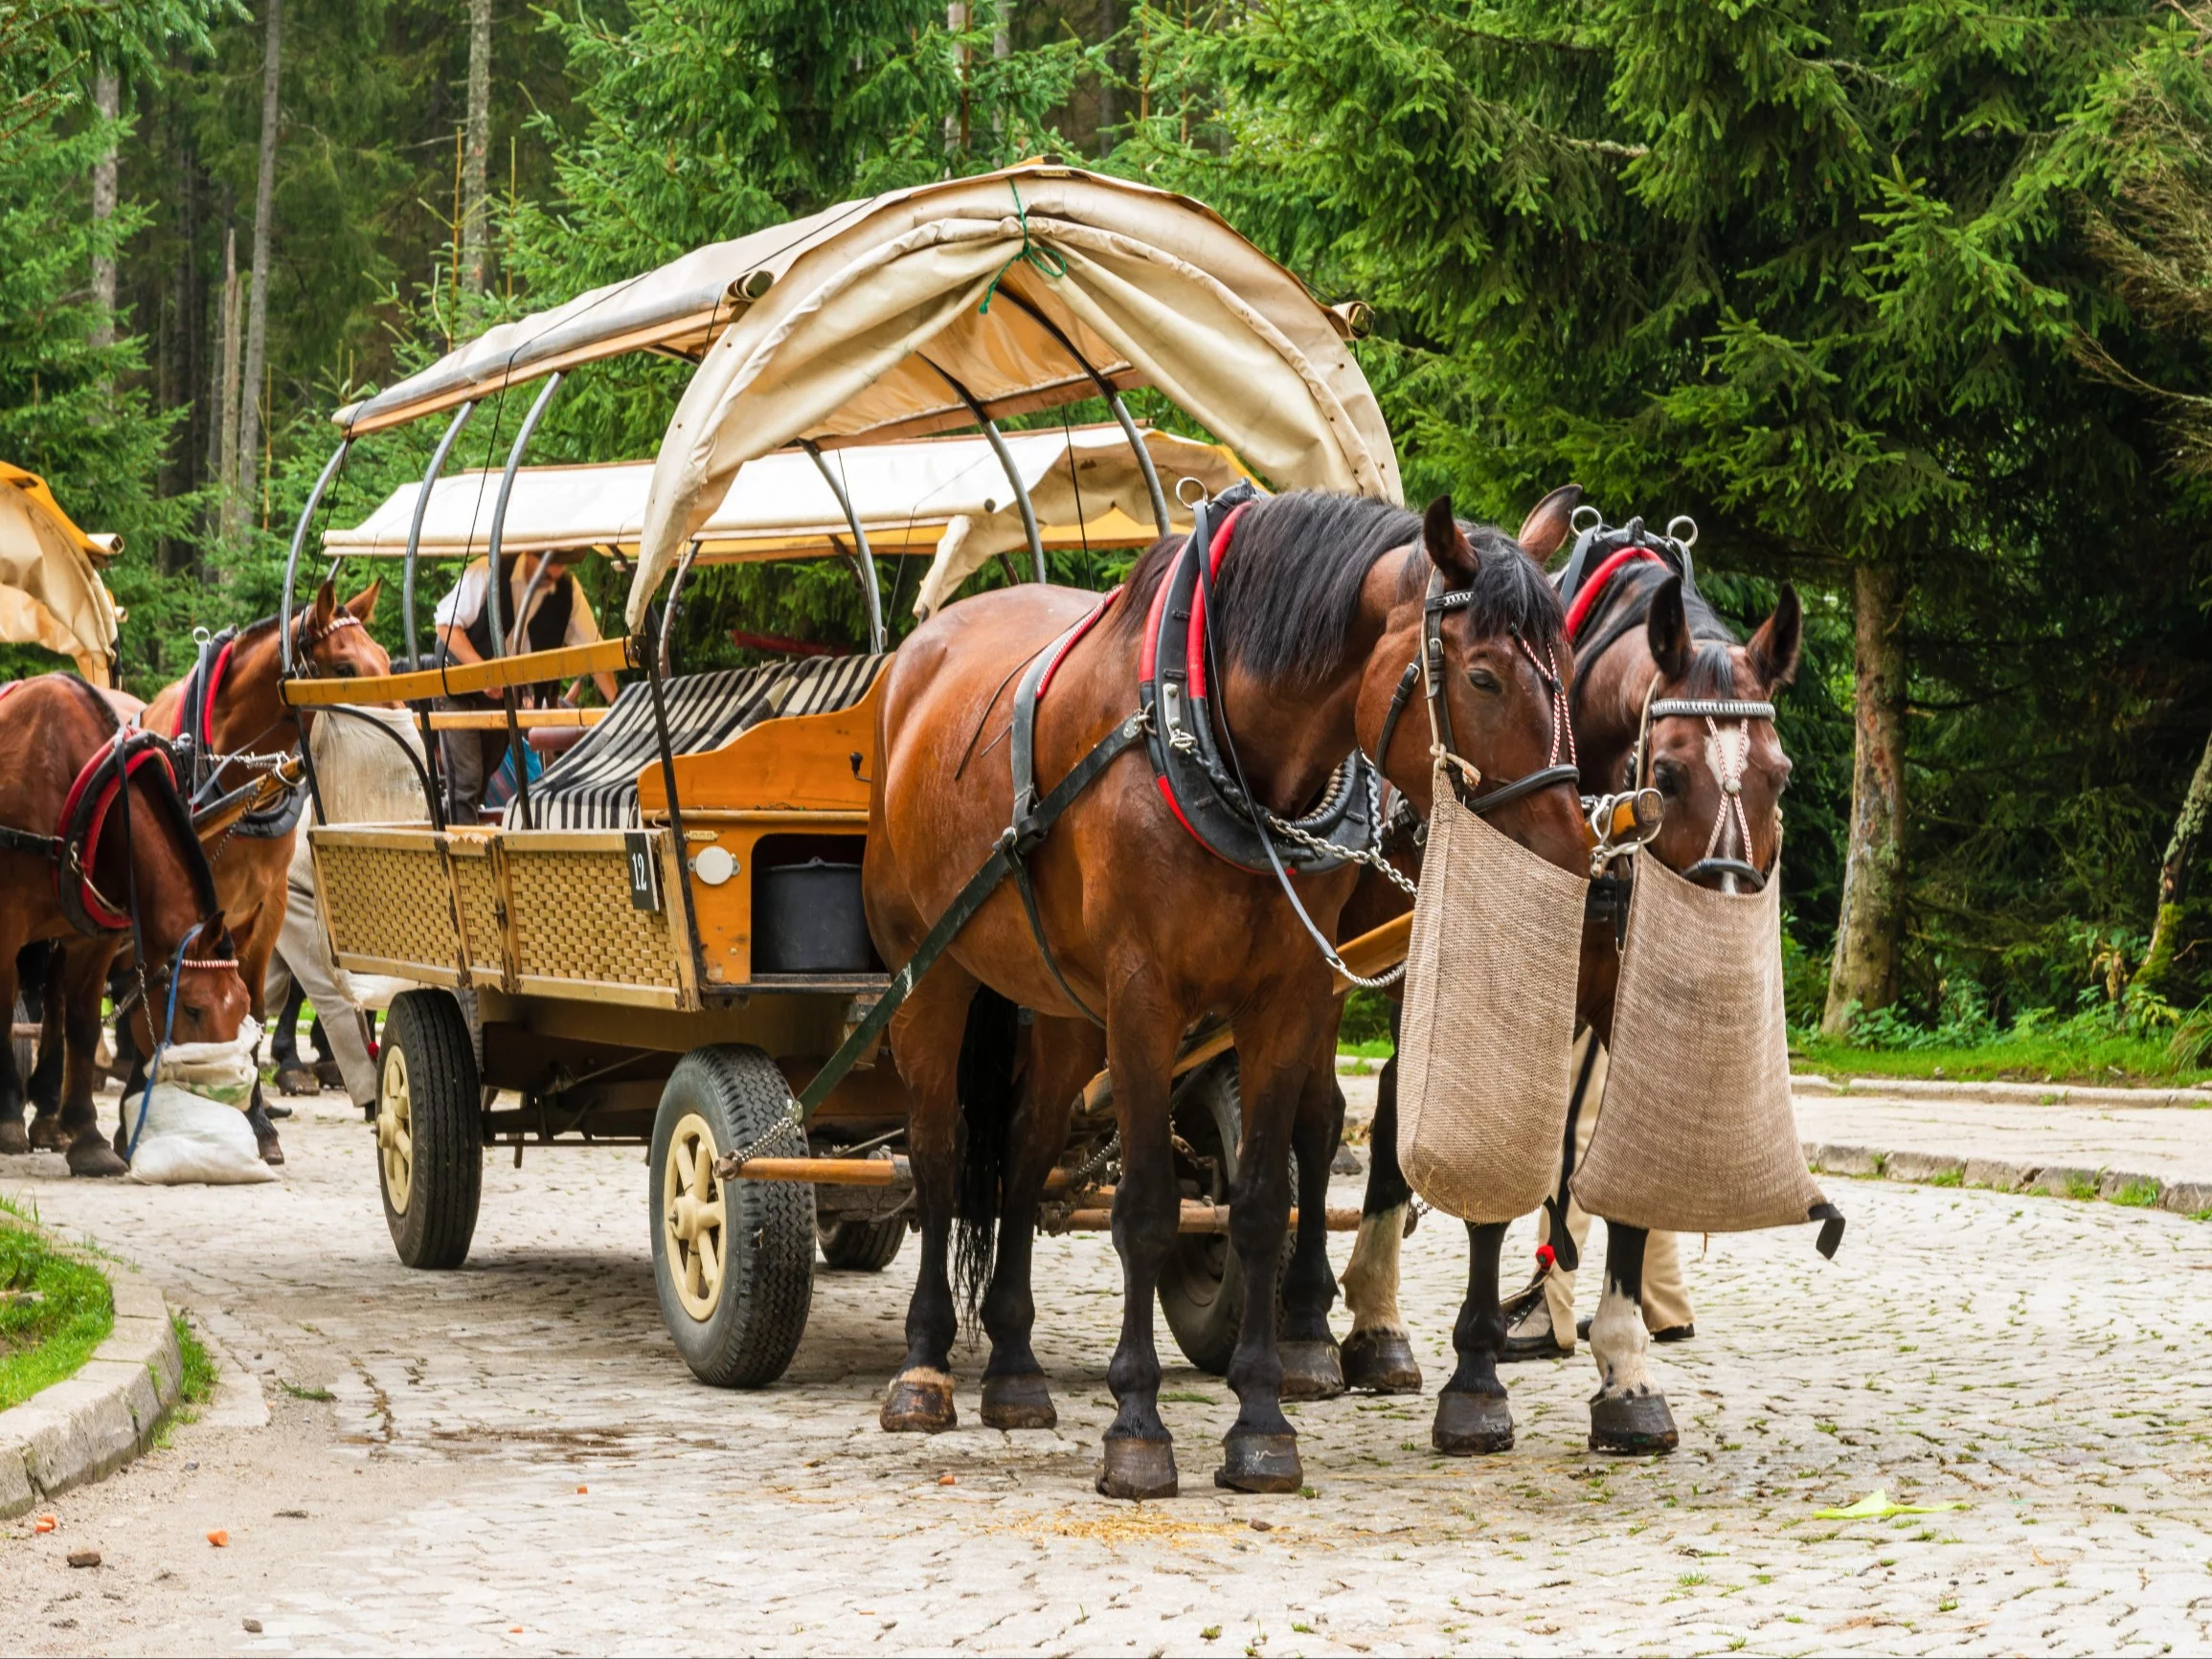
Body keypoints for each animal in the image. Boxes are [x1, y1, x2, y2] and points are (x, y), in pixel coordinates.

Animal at [0, 677, 252, 1168]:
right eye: (192, 1009)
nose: (224, 1099)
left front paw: (86, 1136)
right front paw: (5, 1119)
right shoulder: (6, 925)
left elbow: (82, 1022)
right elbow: (1, 1016)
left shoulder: (92, 939)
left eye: (244, 1007)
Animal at [862, 486, 1592, 1504]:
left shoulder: (1284, 999)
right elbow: (1147, 1211)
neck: (1215, 739)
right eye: (1484, 678)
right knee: (935, 1154)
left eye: (1567, 669)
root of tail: (912, 659)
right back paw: (925, 1369)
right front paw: (1137, 1428)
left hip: (1059, 1003)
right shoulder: (1142, 999)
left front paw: (1261, 1422)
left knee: (1024, 1151)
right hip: (929, 975)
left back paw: (1012, 1369)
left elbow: (1258, 1202)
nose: (1573, 854)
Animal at [1327, 493, 1795, 1450]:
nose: (1715, 957)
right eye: (1668, 774)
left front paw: (1625, 1372)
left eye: (1782, 777)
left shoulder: (1622, 1004)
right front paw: (1474, 1381)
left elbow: (1622, 1184)